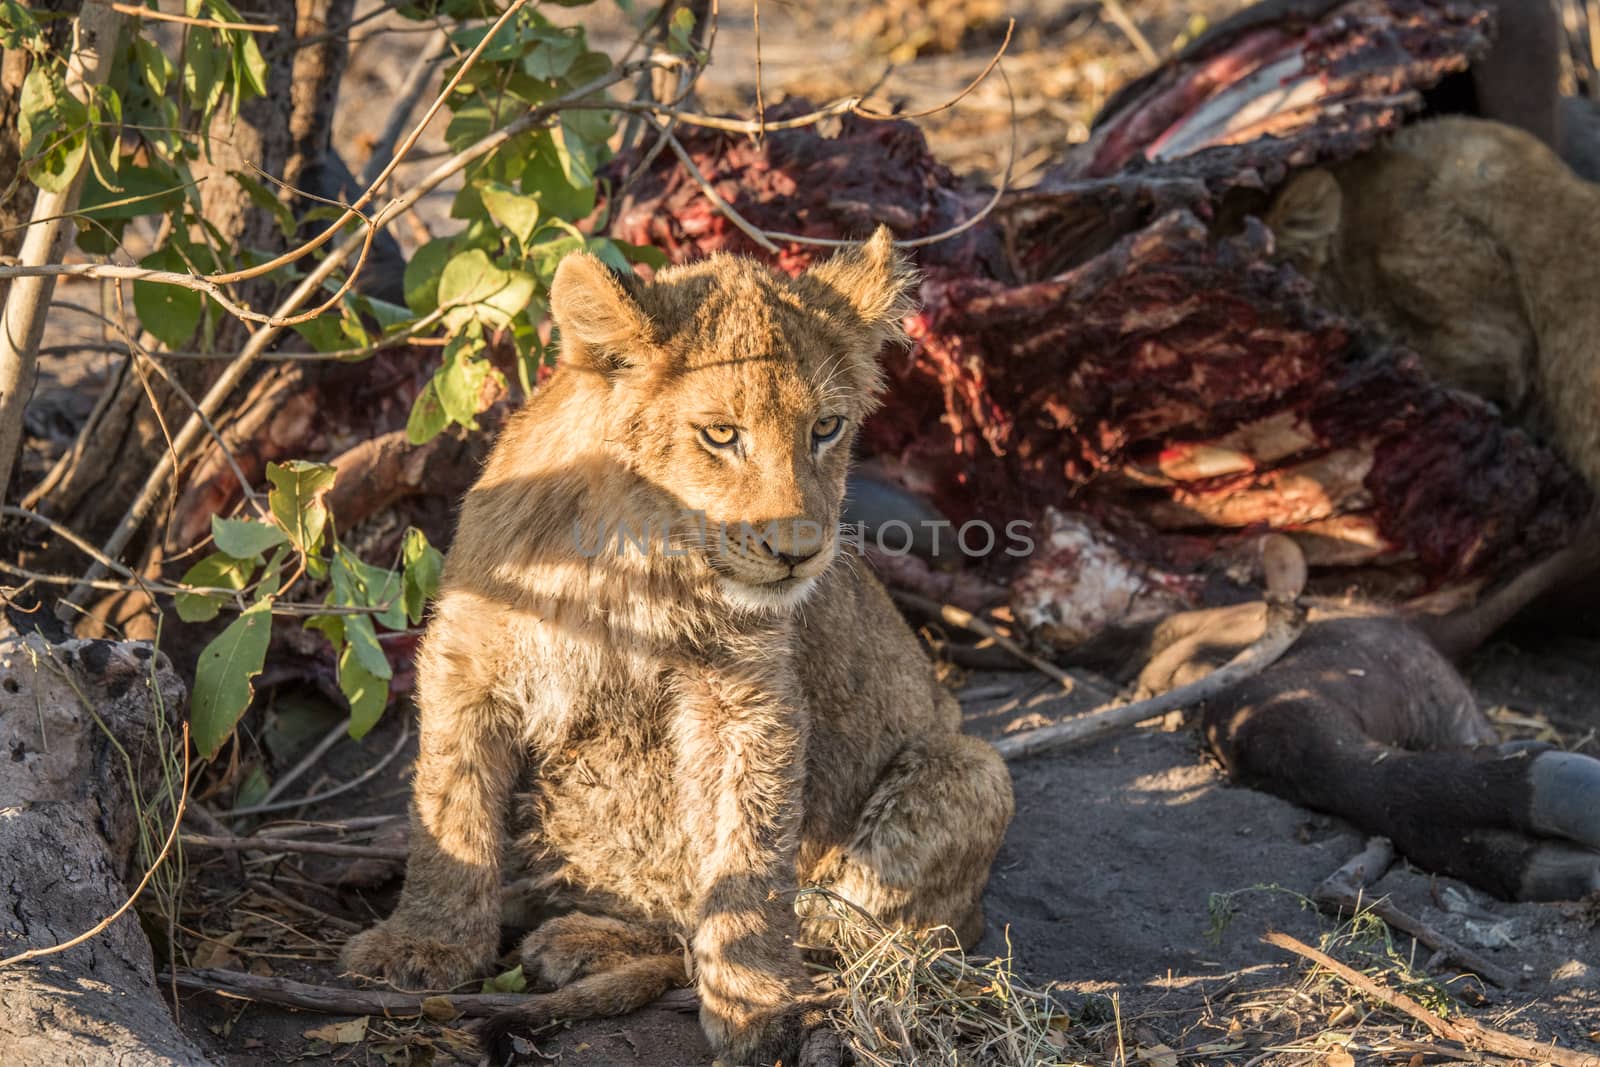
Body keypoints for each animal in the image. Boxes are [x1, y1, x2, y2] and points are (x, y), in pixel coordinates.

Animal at [342, 227, 1011, 1067]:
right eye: (721, 435)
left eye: (826, 428)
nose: (799, 552)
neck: (629, 556)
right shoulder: (467, 661)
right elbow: (449, 806)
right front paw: (424, 943)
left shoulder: (748, 700)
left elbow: (747, 858)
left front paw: (755, 1002)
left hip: (973, 766)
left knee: (838, 929)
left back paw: (588, 943)